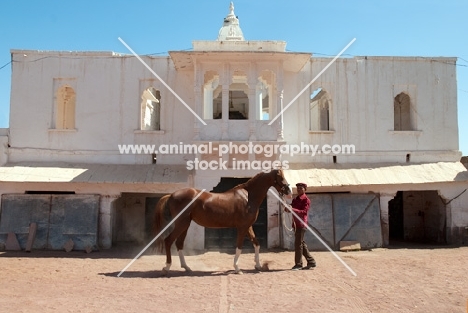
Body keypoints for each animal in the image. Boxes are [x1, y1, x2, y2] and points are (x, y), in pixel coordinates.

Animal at [153, 168, 288, 272]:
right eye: (281, 177)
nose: (288, 190)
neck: (248, 197)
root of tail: (171, 195)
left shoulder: (248, 226)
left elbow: (256, 243)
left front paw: (258, 265)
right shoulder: (242, 227)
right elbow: (239, 246)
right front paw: (237, 268)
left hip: (185, 225)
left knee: (179, 244)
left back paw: (186, 267)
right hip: (181, 224)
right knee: (168, 241)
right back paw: (167, 267)